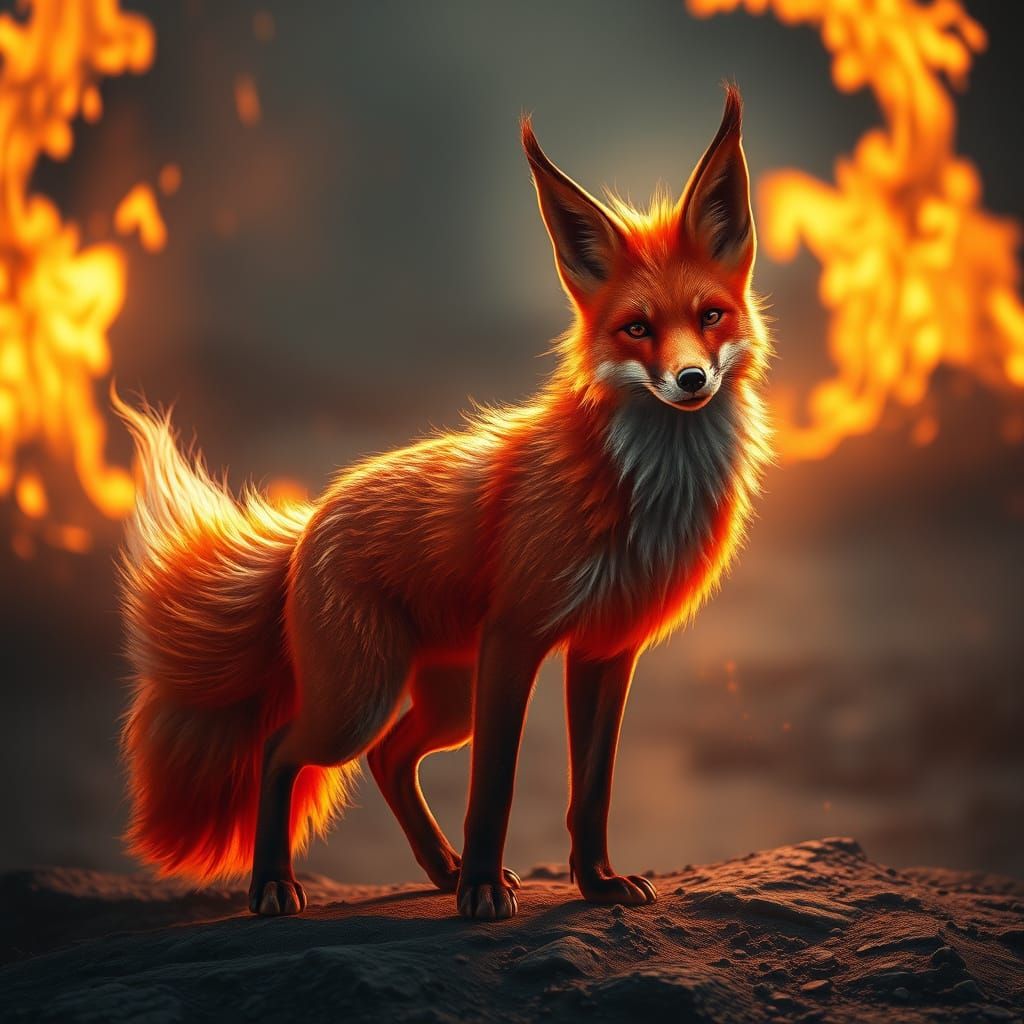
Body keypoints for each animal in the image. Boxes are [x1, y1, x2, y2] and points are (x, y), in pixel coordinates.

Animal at [116, 86, 771, 921]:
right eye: (637, 329)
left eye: (711, 316)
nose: (691, 381)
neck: (642, 489)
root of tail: (307, 526)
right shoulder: (516, 637)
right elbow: (494, 785)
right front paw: (484, 891)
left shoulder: (605, 649)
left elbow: (590, 791)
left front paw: (595, 885)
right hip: (362, 697)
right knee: (282, 750)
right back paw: (276, 886)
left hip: (442, 698)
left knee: (391, 758)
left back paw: (437, 869)